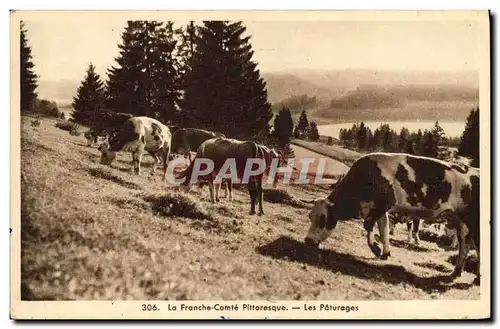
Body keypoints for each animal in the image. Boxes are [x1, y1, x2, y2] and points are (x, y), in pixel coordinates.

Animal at [304, 152, 480, 284]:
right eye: (310, 216)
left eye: (324, 218)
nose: (308, 240)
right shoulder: (381, 210)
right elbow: (383, 230)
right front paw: (385, 252)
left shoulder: (382, 204)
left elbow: (368, 226)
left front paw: (375, 249)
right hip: (458, 220)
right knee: (465, 244)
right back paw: (456, 272)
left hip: (473, 221)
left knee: (476, 245)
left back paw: (476, 278)